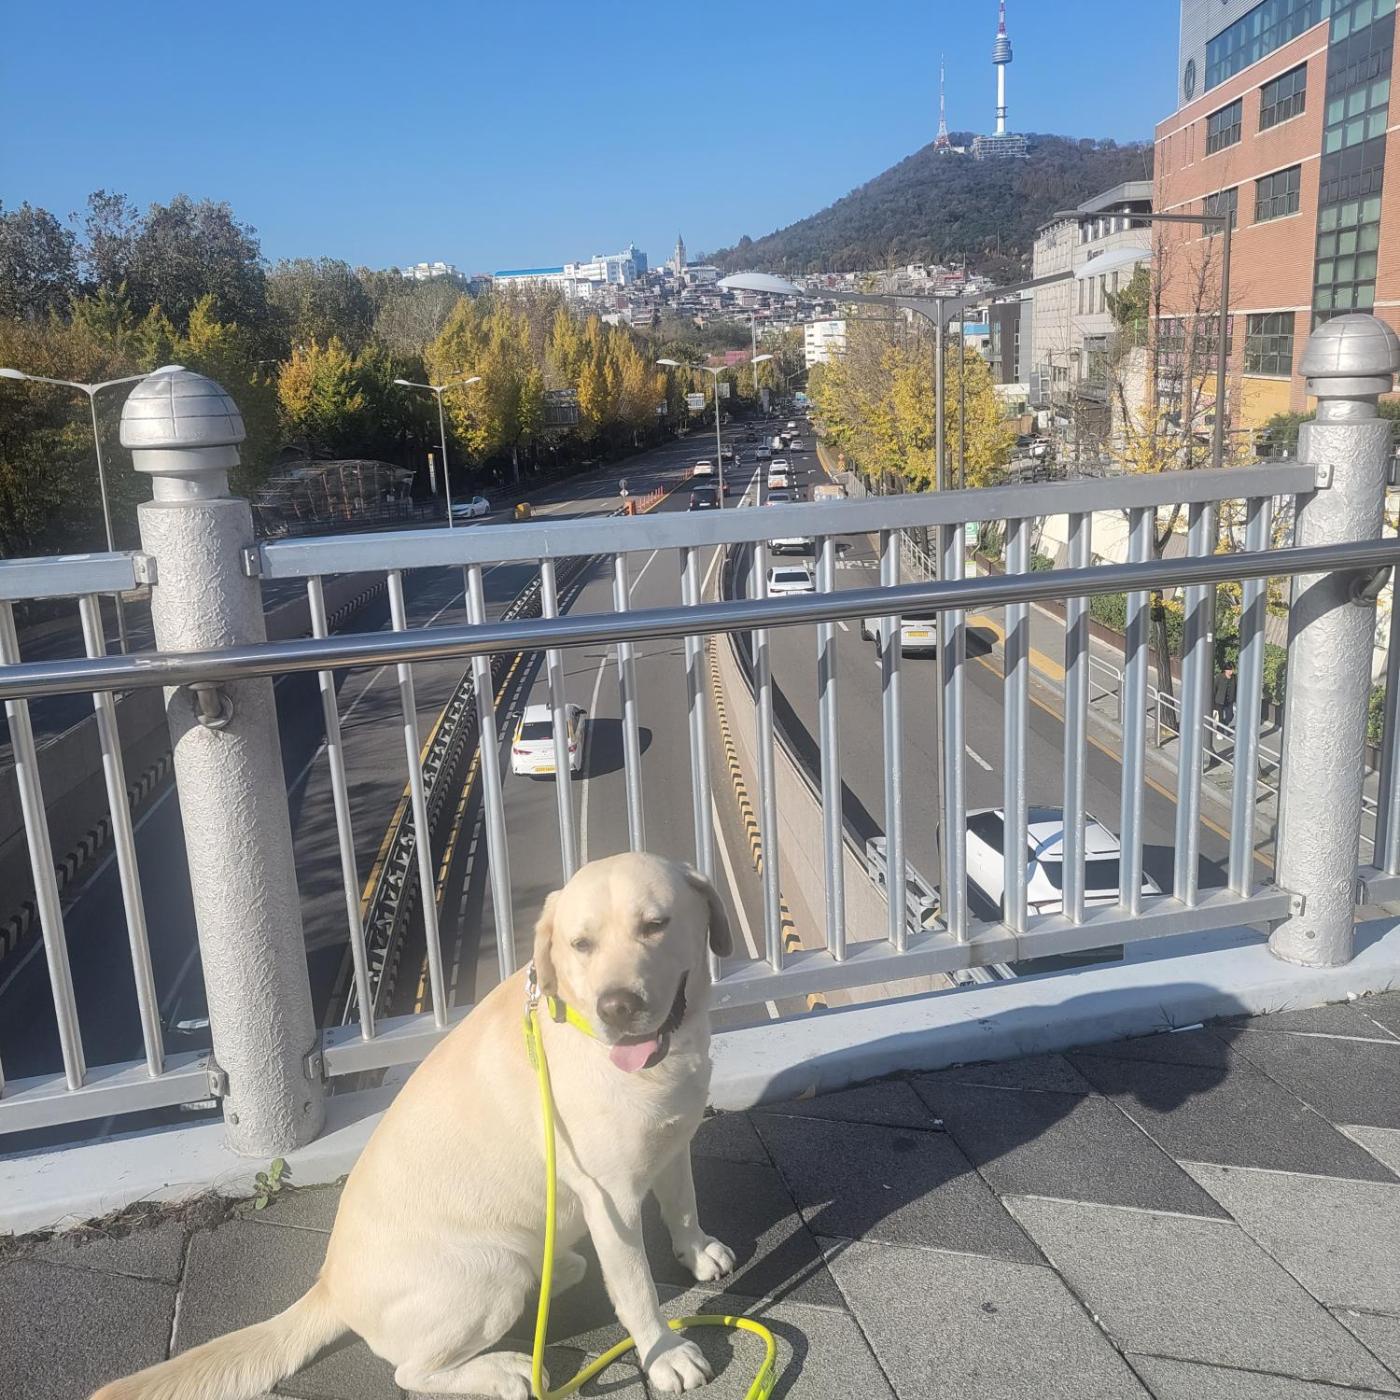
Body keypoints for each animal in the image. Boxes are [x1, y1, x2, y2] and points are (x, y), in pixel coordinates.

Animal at [92, 852, 736, 1399]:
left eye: (655, 924)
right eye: (581, 944)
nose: (617, 1006)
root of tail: (331, 1285)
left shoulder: (673, 1141)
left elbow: (683, 1203)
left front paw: (698, 1251)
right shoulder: (612, 1200)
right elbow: (636, 1288)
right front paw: (663, 1352)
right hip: (491, 1268)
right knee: (412, 1372)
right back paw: (505, 1370)